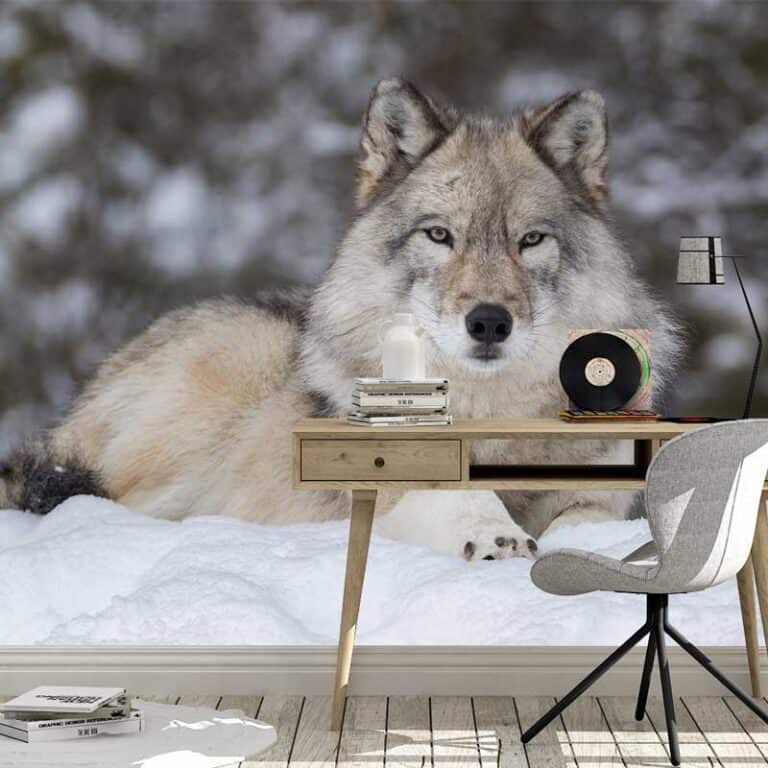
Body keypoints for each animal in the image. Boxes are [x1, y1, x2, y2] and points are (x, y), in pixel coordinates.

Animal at [1, 79, 681, 560]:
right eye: (440, 236)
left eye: (530, 240)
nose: (489, 322)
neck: (491, 417)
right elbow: (458, 493)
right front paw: (495, 535)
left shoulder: (596, 494)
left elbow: (587, 519)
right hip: (232, 373)